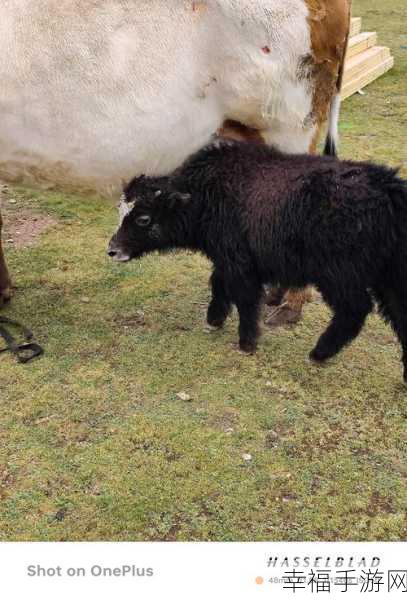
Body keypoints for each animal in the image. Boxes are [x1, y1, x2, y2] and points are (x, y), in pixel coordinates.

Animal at [107, 142, 407, 380]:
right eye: (120, 211)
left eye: (143, 219)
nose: (112, 250)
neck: (205, 194)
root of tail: (389, 190)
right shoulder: (227, 258)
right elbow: (218, 284)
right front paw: (214, 319)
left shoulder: (239, 261)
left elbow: (244, 298)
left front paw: (247, 342)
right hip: (388, 275)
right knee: (399, 315)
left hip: (340, 274)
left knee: (354, 311)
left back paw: (319, 352)